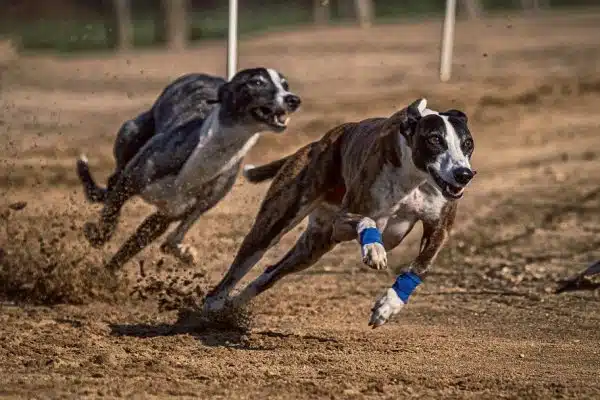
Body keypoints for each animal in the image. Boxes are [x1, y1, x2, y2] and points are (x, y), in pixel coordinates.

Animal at [77, 68, 302, 272]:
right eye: (256, 82)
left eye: (285, 85)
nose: (293, 99)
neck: (209, 152)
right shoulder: (130, 181)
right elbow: (110, 216)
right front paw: (98, 236)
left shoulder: (167, 216)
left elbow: (130, 249)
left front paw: (104, 278)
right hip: (130, 133)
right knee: (112, 182)